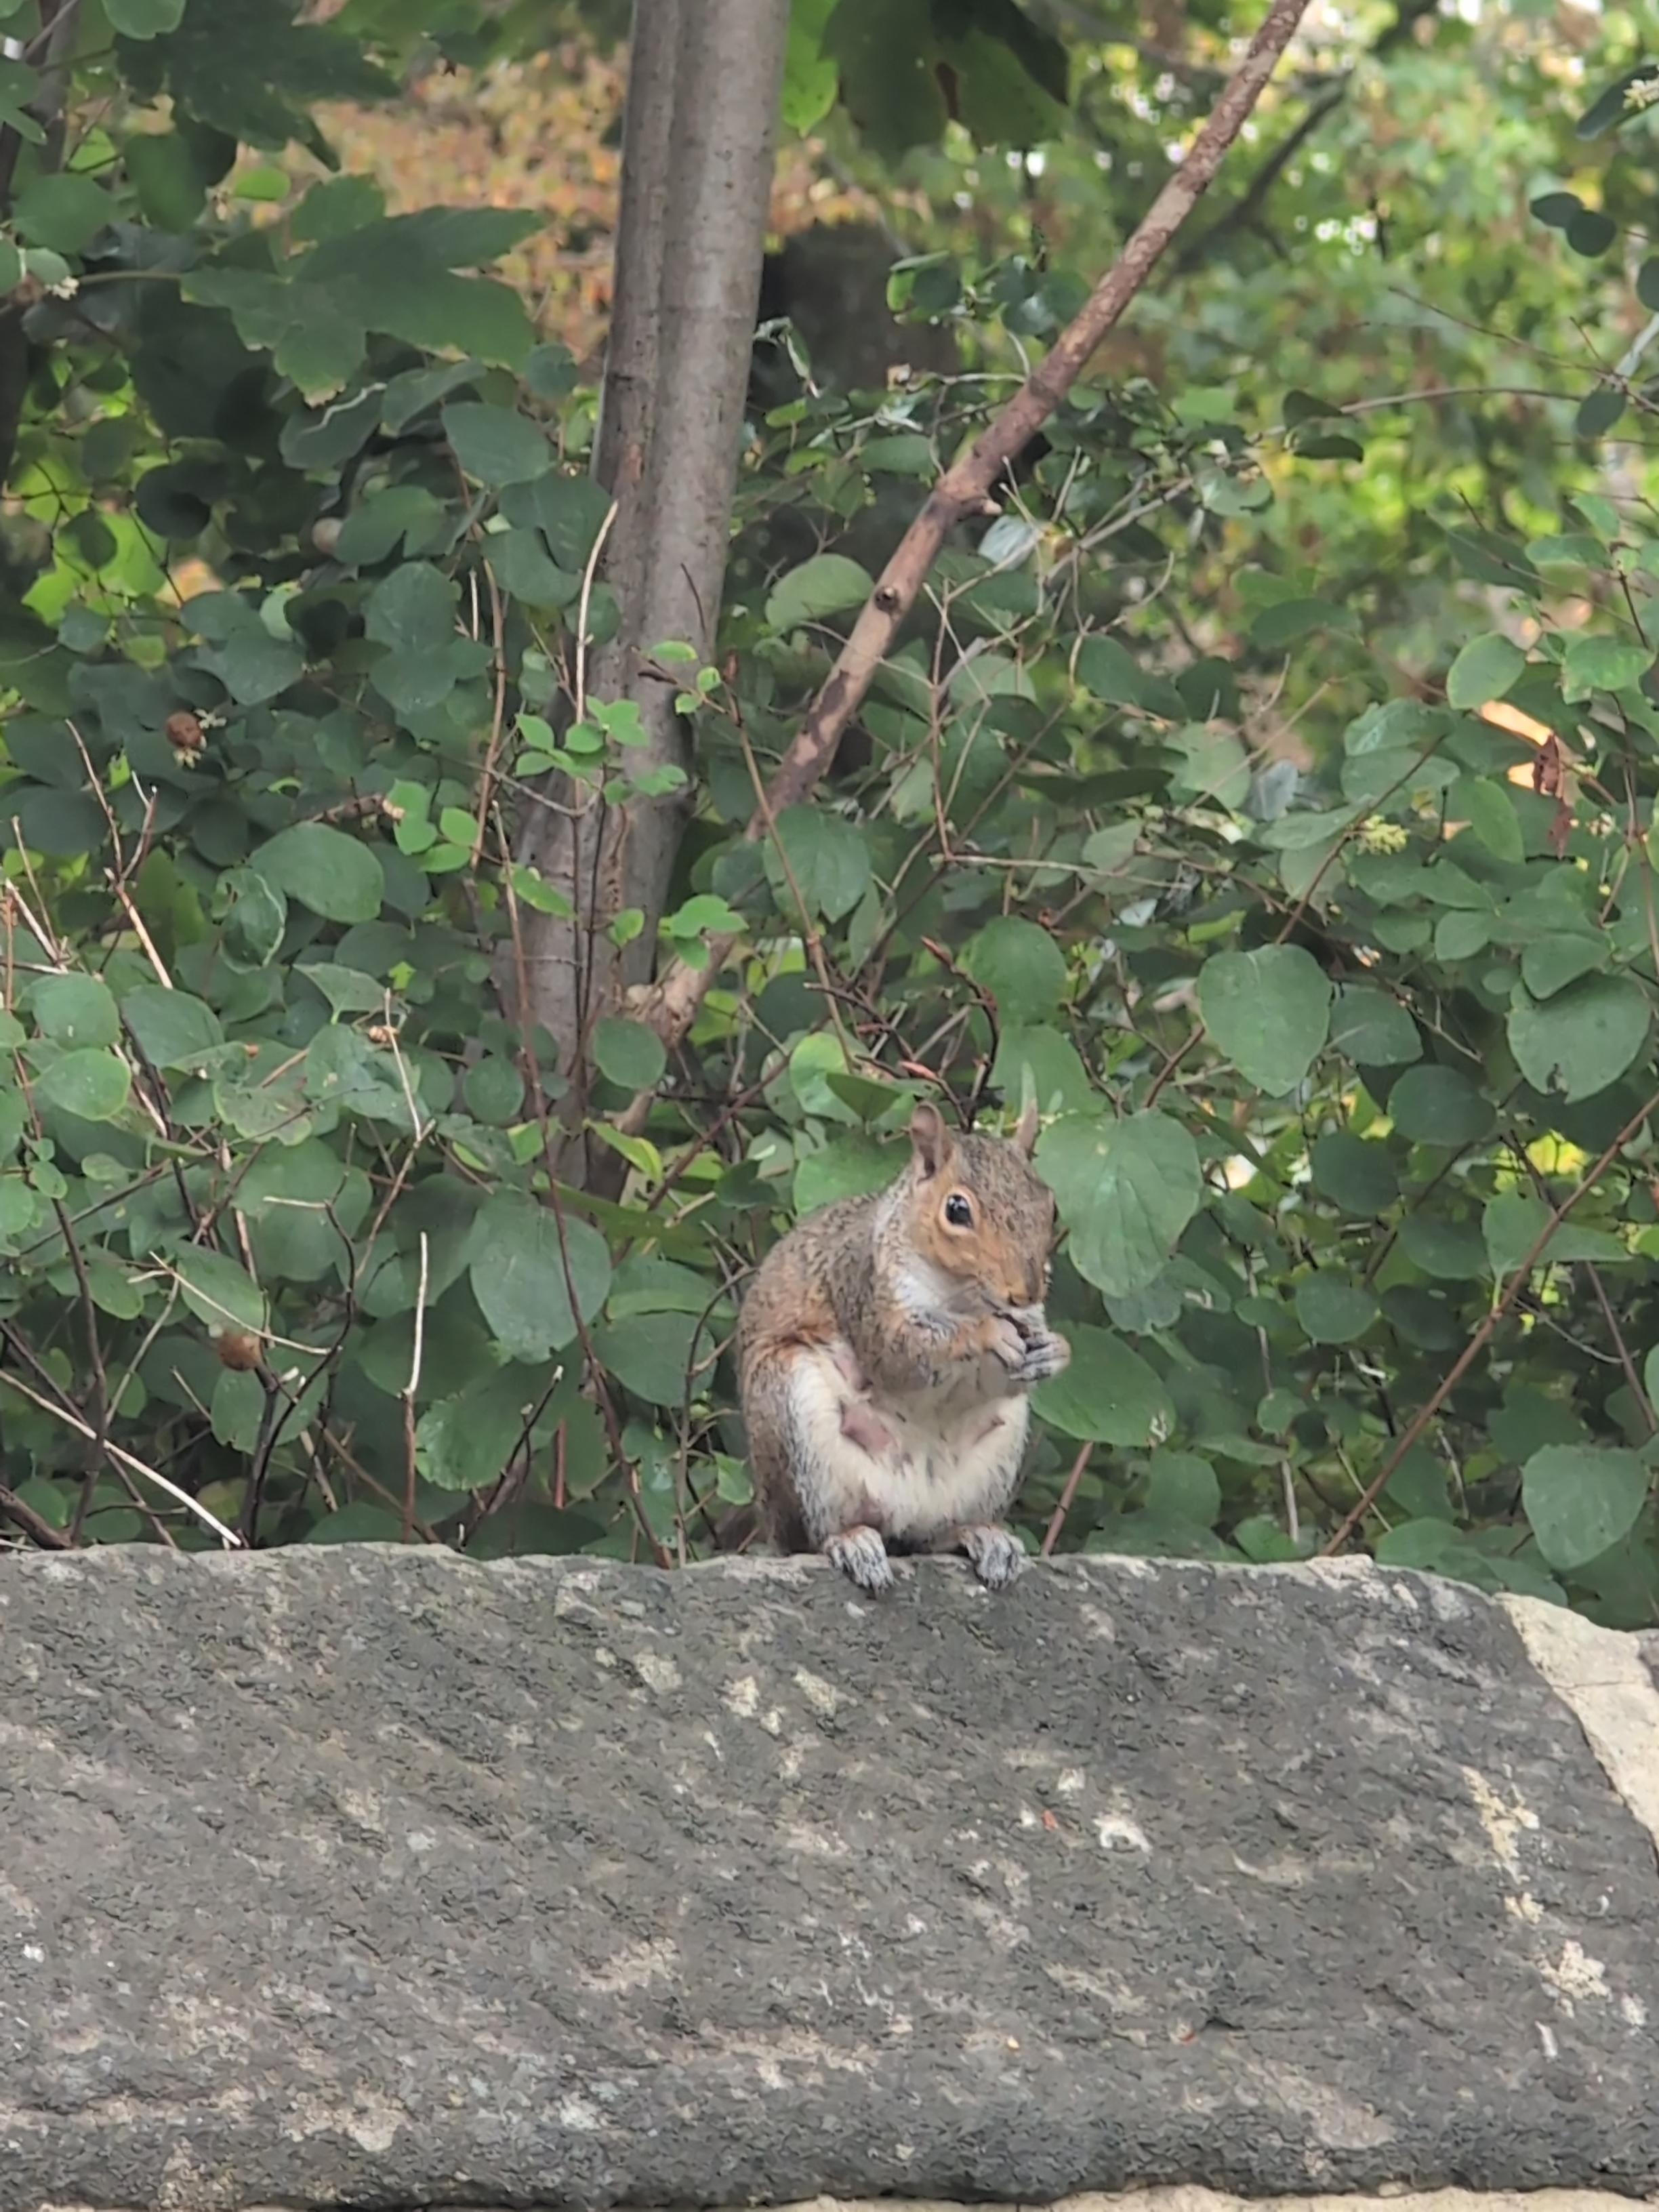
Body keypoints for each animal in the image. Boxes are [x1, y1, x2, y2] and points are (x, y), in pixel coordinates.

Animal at [736, 1098, 1070, 1595]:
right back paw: (851, 1542)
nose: (1025, 1292)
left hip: (994, 1457)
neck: (962, 1295)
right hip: (791, 1413)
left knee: (935, 1539)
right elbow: (900, 1355)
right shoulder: (867, 1289)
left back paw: (982, 1536)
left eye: (1051, 1206)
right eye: (956, 1209)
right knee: (813, 1537)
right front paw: (986, 1334)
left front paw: (1055, 1350)